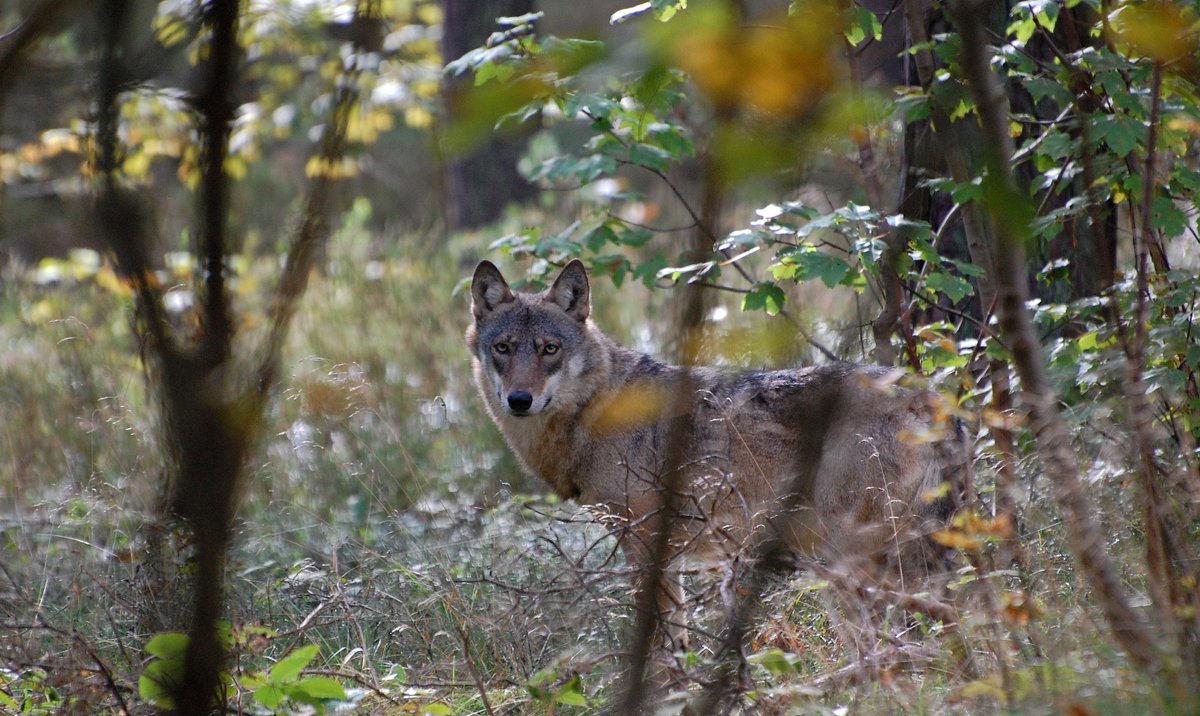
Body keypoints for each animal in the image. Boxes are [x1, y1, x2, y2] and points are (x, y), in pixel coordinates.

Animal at [467, 259, 964, 652]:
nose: (519, 400)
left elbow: (660, 643)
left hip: (857, 558)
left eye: (550, 349)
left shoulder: (647, 543)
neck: (595, 411)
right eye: (503, 348)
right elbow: (679, 637)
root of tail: (931, 398)